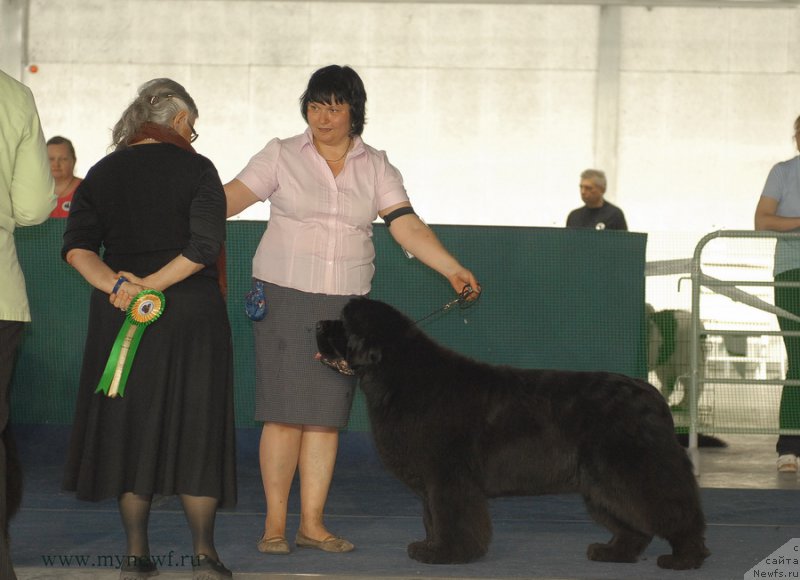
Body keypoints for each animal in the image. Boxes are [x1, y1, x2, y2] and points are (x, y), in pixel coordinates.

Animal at [316, 296, 708, 568]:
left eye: (343, 324)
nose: (318, 324)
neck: (398, 376)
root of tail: (651, 394)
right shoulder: (433, 482)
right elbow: (432, 517)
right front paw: (429, 547)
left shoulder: (448, 478)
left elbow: (450, 517)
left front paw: (446, 553)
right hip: (602, 482)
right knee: (633, 521)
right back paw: (612, 552)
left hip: (633, 469)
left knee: (677, 511)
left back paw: (684, 558)